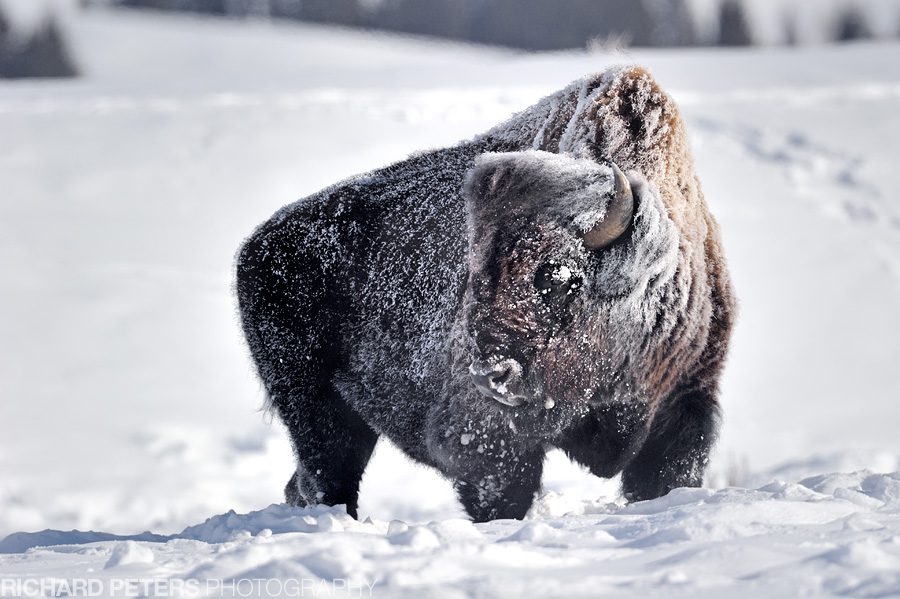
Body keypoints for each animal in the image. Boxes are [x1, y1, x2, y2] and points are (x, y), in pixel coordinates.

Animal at [236, 65, 736, 524]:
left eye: (560, 277)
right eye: (474, 271)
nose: (491, 374)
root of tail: (257, 246)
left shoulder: (686, 402)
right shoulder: (491, 439)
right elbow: (503, 495)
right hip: (315, 408)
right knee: (328, 480)